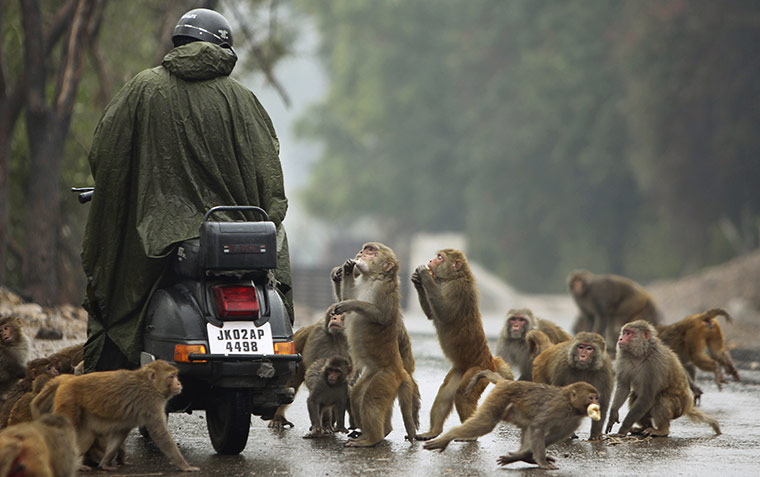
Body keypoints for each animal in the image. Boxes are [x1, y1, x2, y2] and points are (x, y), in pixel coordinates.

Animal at [32, 359, 199, 471]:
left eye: (176, 376)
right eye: (171, 376)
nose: (179, 384)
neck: (150, 385)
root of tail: (69, 379)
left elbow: (120, 432)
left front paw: (105, 463)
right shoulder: (150, 403)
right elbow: (160, 434)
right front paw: (185, 466)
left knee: (86, 437)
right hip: (69, 402)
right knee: (65, 429)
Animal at [332, 242, 419, 446]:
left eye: (371, 251)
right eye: (365, 249)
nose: (360, 253)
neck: (371, 278)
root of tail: (400, 370)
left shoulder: (385, 291)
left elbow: (381, 315)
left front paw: (351, 303)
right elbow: (345, 295)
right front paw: (347, 269)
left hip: (385, 378)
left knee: (371, 400)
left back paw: (372, 439)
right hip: (373, 372)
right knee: (357, 395)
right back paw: (373, 433)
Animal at [410, 248, 514, 440]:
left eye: (440, 257)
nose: (431, 260)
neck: (452, 277)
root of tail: (490, 360)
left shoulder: (457, 289)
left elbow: (444, 313)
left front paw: (424, 276)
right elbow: (431, 314)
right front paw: (417, 280)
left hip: (478, 371)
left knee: (462, 395)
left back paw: (470, 435)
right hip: (461, 369)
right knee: (445, 393)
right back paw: (434, 432)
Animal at [424, 380, 600, 470]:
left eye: (596, 397)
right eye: (591, 397)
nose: (597, 403)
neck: (570, 405)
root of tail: (505, 381)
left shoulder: (574, 420)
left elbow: (552, 435)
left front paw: (521, 457)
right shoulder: (557, 407)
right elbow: (538, 427)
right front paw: (541, 461)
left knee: (526, 426)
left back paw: (526, 458)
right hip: (499, 397)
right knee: (486, 423)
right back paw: (449, 436)